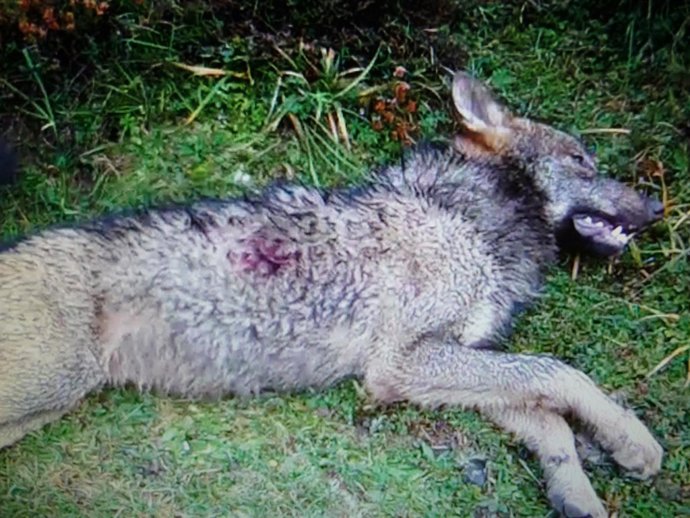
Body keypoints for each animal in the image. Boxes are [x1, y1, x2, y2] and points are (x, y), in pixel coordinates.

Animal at [0, 71, 665, 517]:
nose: (659, 206)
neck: (464, 216)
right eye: (582, 159)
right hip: (51, 385)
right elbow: (560, 373)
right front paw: (634, 440)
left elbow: (548, 418)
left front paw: (578, 493)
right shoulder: (400, 364)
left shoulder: (450, 360)